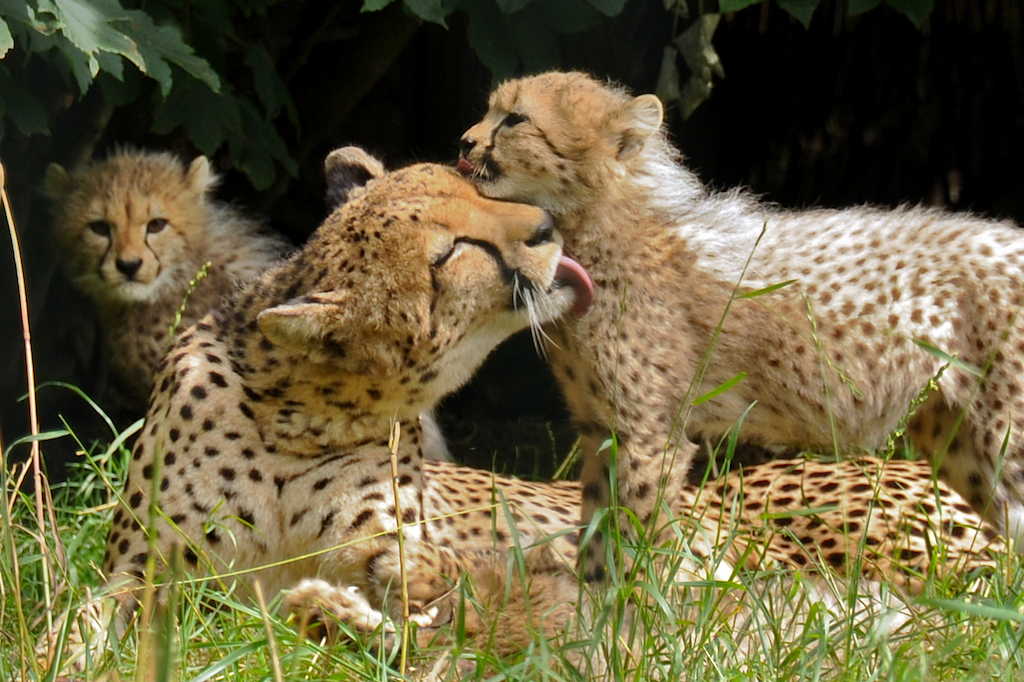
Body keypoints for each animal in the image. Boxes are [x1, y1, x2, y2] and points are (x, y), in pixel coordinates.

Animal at [458, 70, 1024, 581]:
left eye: (515, 119)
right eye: (488, 110)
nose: (464, 142)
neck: (595, 231)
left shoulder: (647, 437)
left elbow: (638, 546)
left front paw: (639, 623)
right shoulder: (602, 433)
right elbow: (599, 547)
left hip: (1004, 439)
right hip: (959, 444)